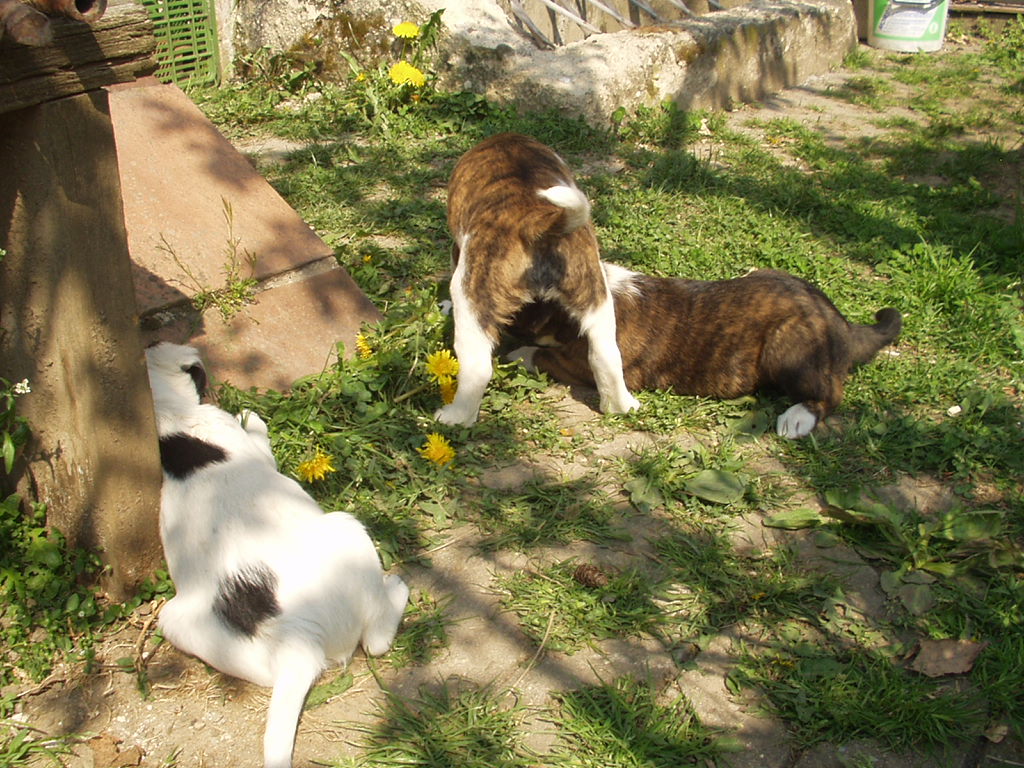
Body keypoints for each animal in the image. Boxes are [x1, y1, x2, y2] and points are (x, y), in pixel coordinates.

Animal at [145, 342, 409, 768]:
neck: (167, 417)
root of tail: (295, 638)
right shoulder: (251, 446)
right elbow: (260, 436)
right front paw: (251, 416)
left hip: (176, 620)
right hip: (347, 529)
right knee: (376, 640)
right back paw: (397, 587)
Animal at [436, 132, 640, 426]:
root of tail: (537, 222)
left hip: (472, 299)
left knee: (477, 367)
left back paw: (455, 417)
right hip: (595, 296)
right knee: (607, 356)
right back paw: (621, 406)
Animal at [508, 265, 902, 438]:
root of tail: (839, 321)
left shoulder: (585, 364)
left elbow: (542, 355)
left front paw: (517, 354)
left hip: (789, 345)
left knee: (830, 392)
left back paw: (797, 419)